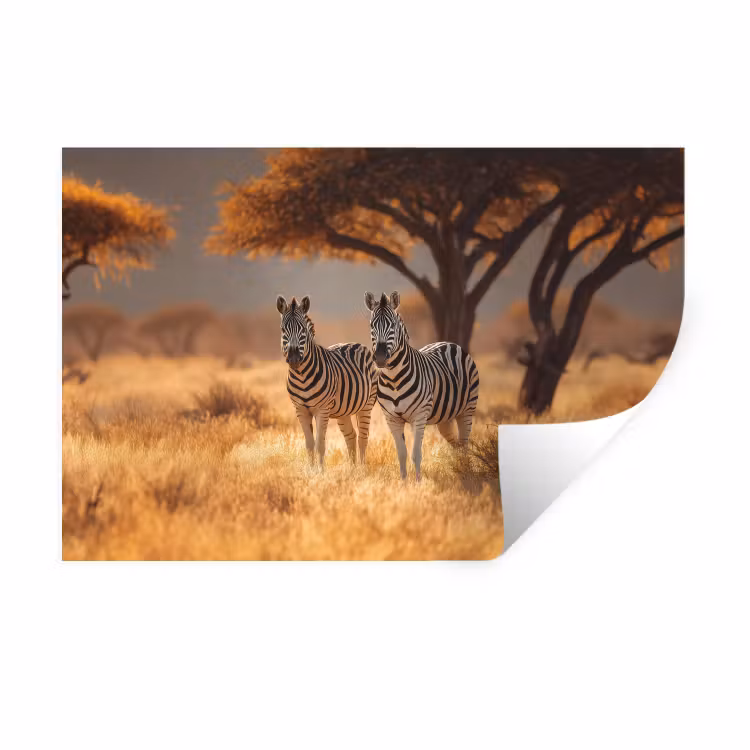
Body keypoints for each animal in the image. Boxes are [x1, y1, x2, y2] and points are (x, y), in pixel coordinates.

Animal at [277, 294, 378, 469]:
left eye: (303, 330)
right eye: (284, 330)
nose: (294, 359)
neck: (302, 376)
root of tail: (356, 343)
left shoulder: (322, 409)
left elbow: (320, 445)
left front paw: (321, 471)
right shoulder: (300, 410)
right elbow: (309, 444)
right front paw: (311, 471)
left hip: (367, 404)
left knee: (363, 438)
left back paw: (361, 469)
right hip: (343, 411)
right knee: (351, 436)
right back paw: (352, 469)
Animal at [365, 291, 480, 481]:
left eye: (393, 325)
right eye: (372, 326)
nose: (380, 357)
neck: (394, 379)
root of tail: (449, 343)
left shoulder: (419, 416)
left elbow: (416, 454)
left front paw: (418, 483)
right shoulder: (392, 419)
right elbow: (402, 453)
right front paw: (404, 482)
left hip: (467, 409)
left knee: (464, 444)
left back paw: (466, 472)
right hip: (445, 418)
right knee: (455, 443)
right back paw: (459, 468)